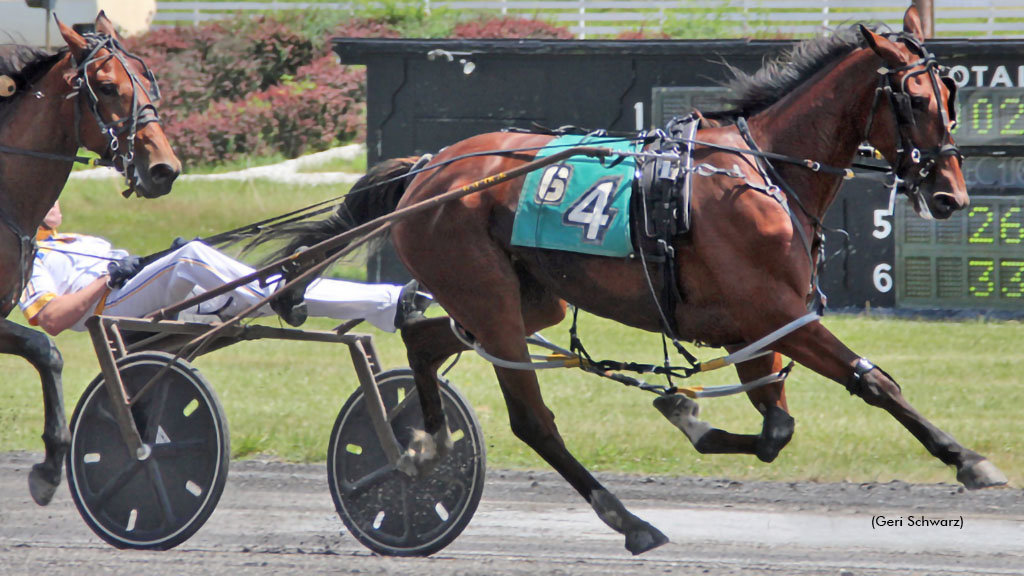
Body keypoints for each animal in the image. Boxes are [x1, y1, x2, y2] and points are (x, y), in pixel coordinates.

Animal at [266, 4, 1007, 553]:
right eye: (914, 98)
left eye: (952, 94)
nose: (950, 196)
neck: (762, 172)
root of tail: (427, 167)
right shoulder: (776, 314)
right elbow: (871, 382)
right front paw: (968, 459)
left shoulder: (758, 327)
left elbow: (775, 431)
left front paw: (688, 413)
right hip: (489, 298)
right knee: (532, 420)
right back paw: (629, 521)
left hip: (520, 299)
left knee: (424, 340)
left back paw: (420, 446)